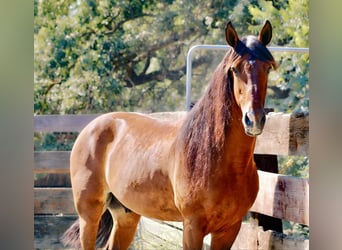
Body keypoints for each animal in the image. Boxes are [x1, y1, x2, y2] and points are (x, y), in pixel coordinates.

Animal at [60, 20, 276, 249]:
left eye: (268, 67)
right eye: (234, 69)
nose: (253, 119)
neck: (214, 157)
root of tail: (91, 127)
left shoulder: (229, 229)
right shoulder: (192, 226)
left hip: (126, 214)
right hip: (89, 214)